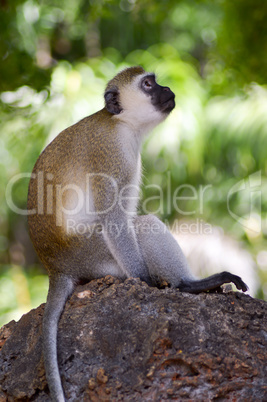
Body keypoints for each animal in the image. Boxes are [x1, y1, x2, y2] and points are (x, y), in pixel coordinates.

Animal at [27, 67, 249, 400]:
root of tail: (56, 266)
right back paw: (188, 286)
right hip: (92, 254)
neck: (121, 124)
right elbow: (116, 219)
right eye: (147, 84)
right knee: (143, 227)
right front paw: (146, 281)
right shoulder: (111, 154)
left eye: (155, 81)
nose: (166, 88)